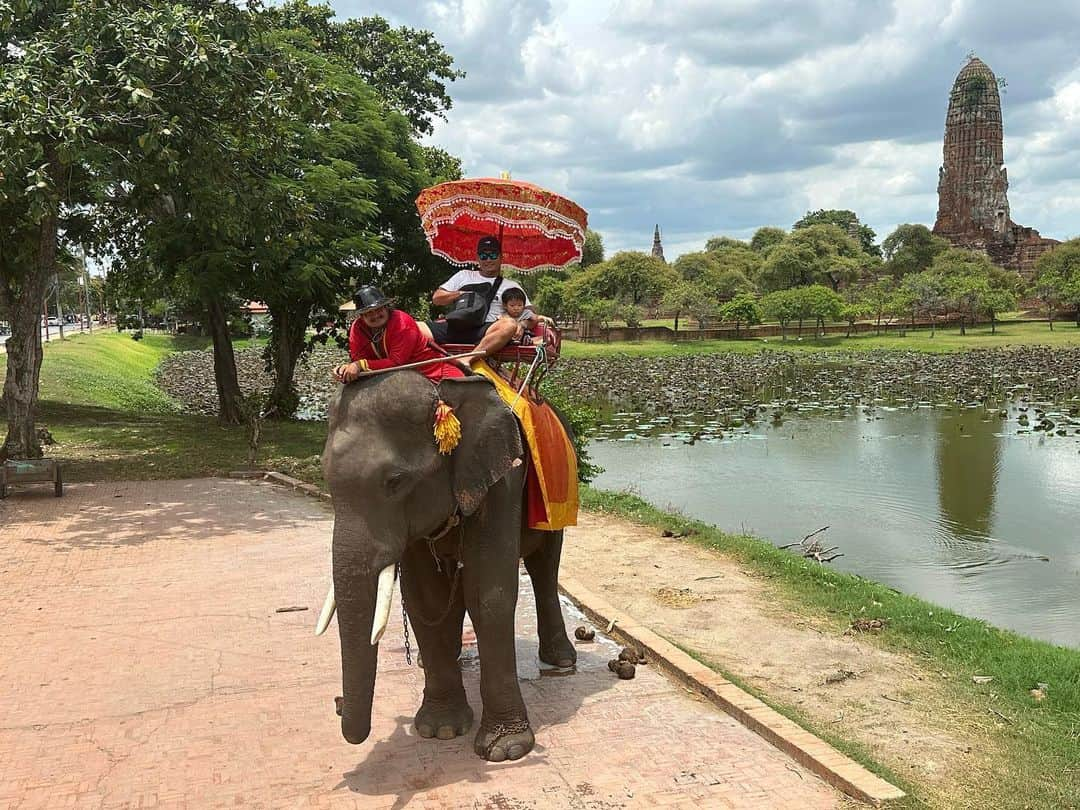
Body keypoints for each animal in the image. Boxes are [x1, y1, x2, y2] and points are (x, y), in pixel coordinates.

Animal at [315, 371, 578, 764]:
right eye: (325, 477)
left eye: (395, 482)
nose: (337, 703)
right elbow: (426, 599)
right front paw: (440, 730)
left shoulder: (503, 480)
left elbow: (489, 594)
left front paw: (506, 749)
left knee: (545, 565)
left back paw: (561, 660)